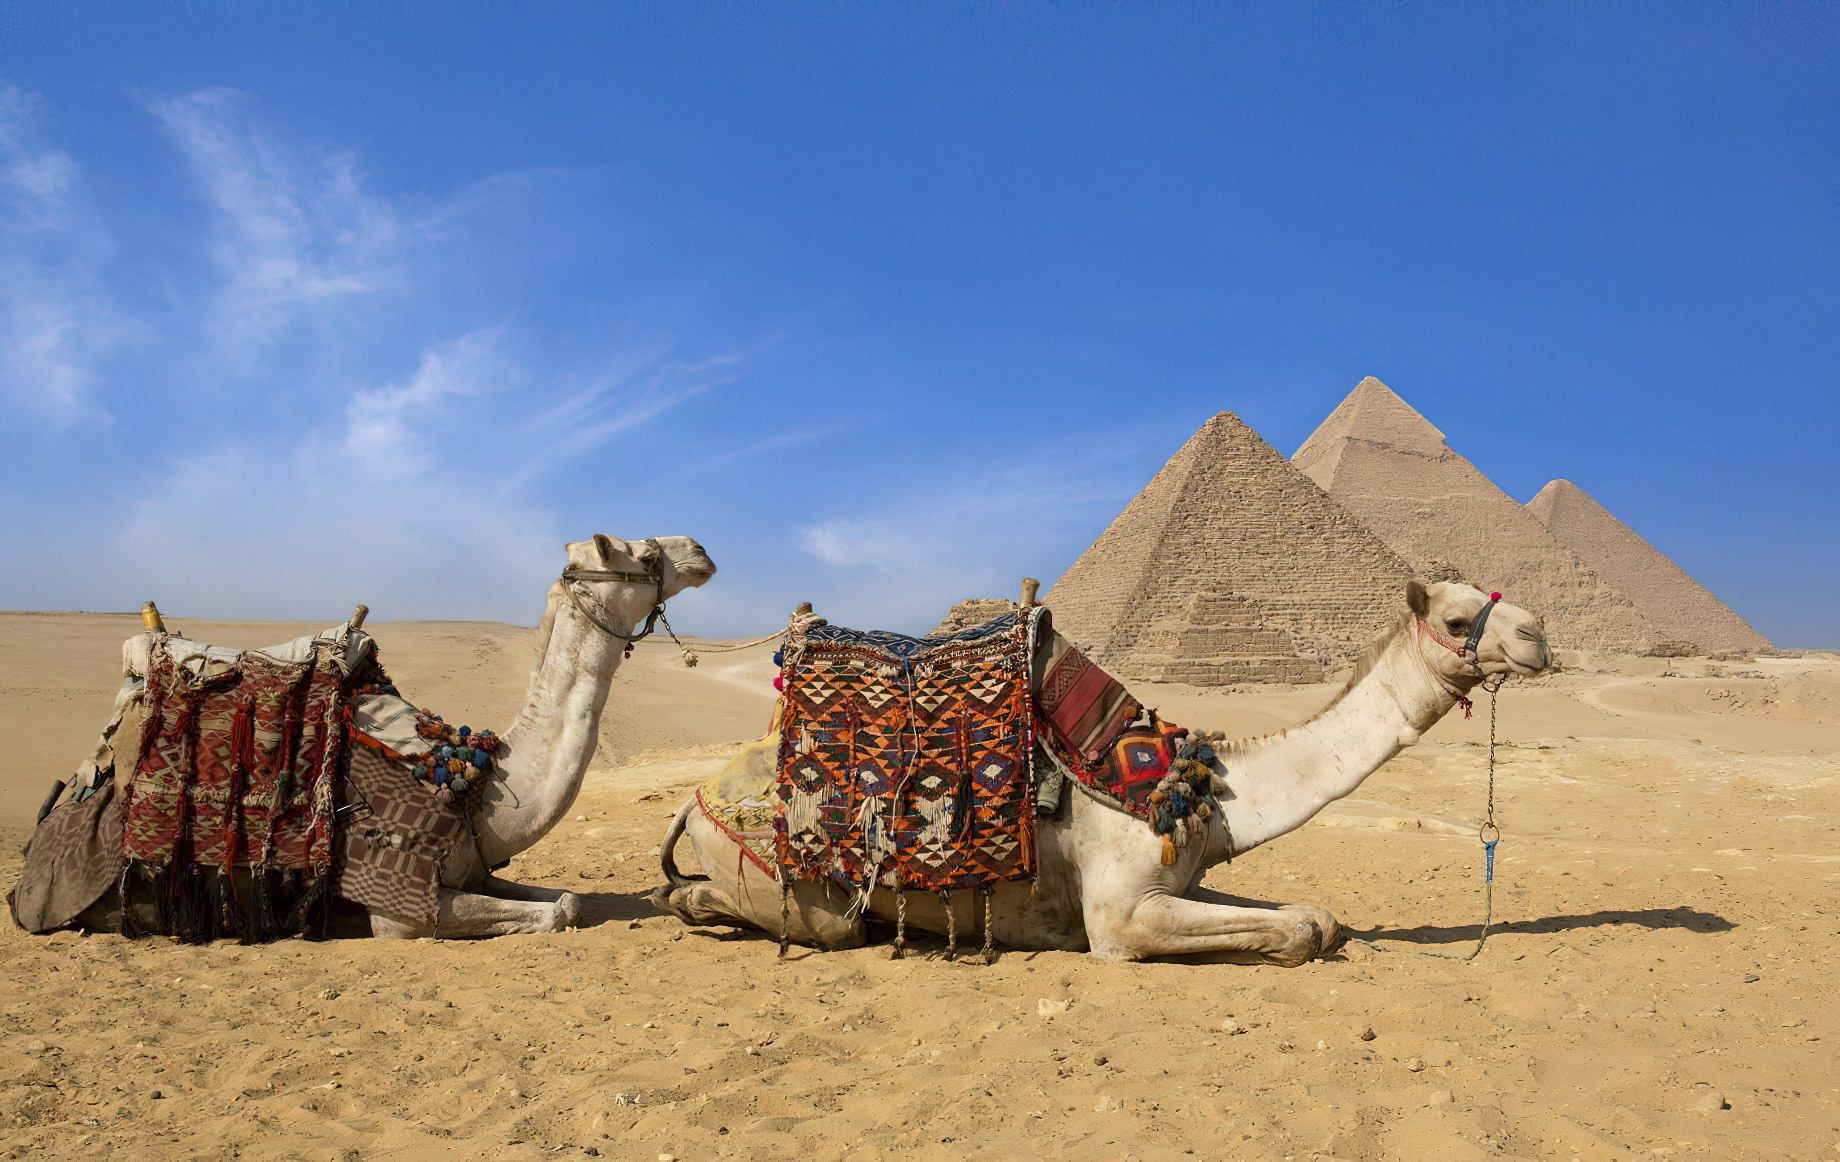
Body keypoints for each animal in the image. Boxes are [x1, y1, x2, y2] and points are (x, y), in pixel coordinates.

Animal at [66, 533, 715, 939]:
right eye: (645, 552)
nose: (701, 550)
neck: (481, 786)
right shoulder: (400, 906)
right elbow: (558, 911)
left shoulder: (476, 870)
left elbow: (565, 899)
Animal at [651, 581, 1552, 964]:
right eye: (1459, 619)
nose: (1539, 635)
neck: (1198, 789)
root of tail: (696, 796)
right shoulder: (1118, 918)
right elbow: (1297, 931)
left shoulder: (1177, 880)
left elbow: (1314, 916)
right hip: (789, 880)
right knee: (797, 918)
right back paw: (691, 902)